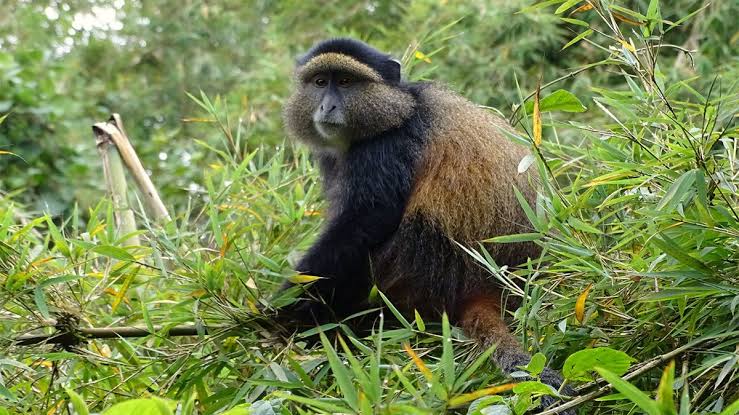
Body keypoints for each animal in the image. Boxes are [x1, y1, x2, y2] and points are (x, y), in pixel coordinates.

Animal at [280, 38, 573, 412]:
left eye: (345, 82)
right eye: (320, 82)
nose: (327, 105)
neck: (398, 108)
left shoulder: (385, 149)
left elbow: (364, 221)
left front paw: (274, 311)